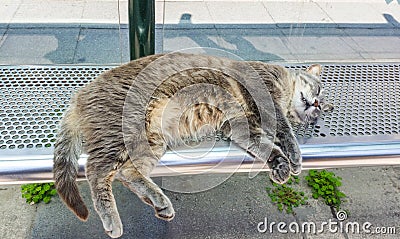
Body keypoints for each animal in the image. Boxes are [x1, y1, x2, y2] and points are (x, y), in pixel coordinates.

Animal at [53, 52, 334, 237]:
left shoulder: (239, 125)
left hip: (148, 143)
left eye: (321, 104)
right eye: (319, 90)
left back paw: (159, 202)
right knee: (97, 172)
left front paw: (279, 164)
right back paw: (112, 219)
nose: (317, 105)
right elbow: (285, 132)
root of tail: (79, 95)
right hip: (123, 133)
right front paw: (294, 157)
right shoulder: (266, 100)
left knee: (128, 173)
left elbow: (266, 147)